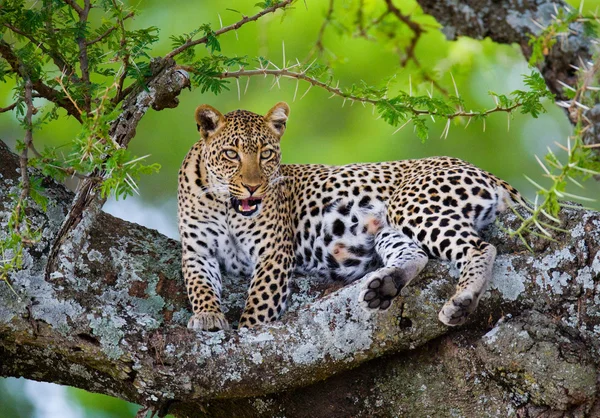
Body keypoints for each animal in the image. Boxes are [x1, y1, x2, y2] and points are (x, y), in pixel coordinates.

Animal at [178, 101, 524, 330]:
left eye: (267, 154)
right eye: (231, 154)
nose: (253, 187)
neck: (225, 206)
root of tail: (483, 170)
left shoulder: (273, 254)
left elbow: (259, 306)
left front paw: (248, 331)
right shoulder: (196, 252)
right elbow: (199, 285)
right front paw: (208, 316)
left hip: (411, 203)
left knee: (479, 247)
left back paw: (463, 300)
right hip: (385, 227)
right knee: (417, 254)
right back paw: (385, 286)